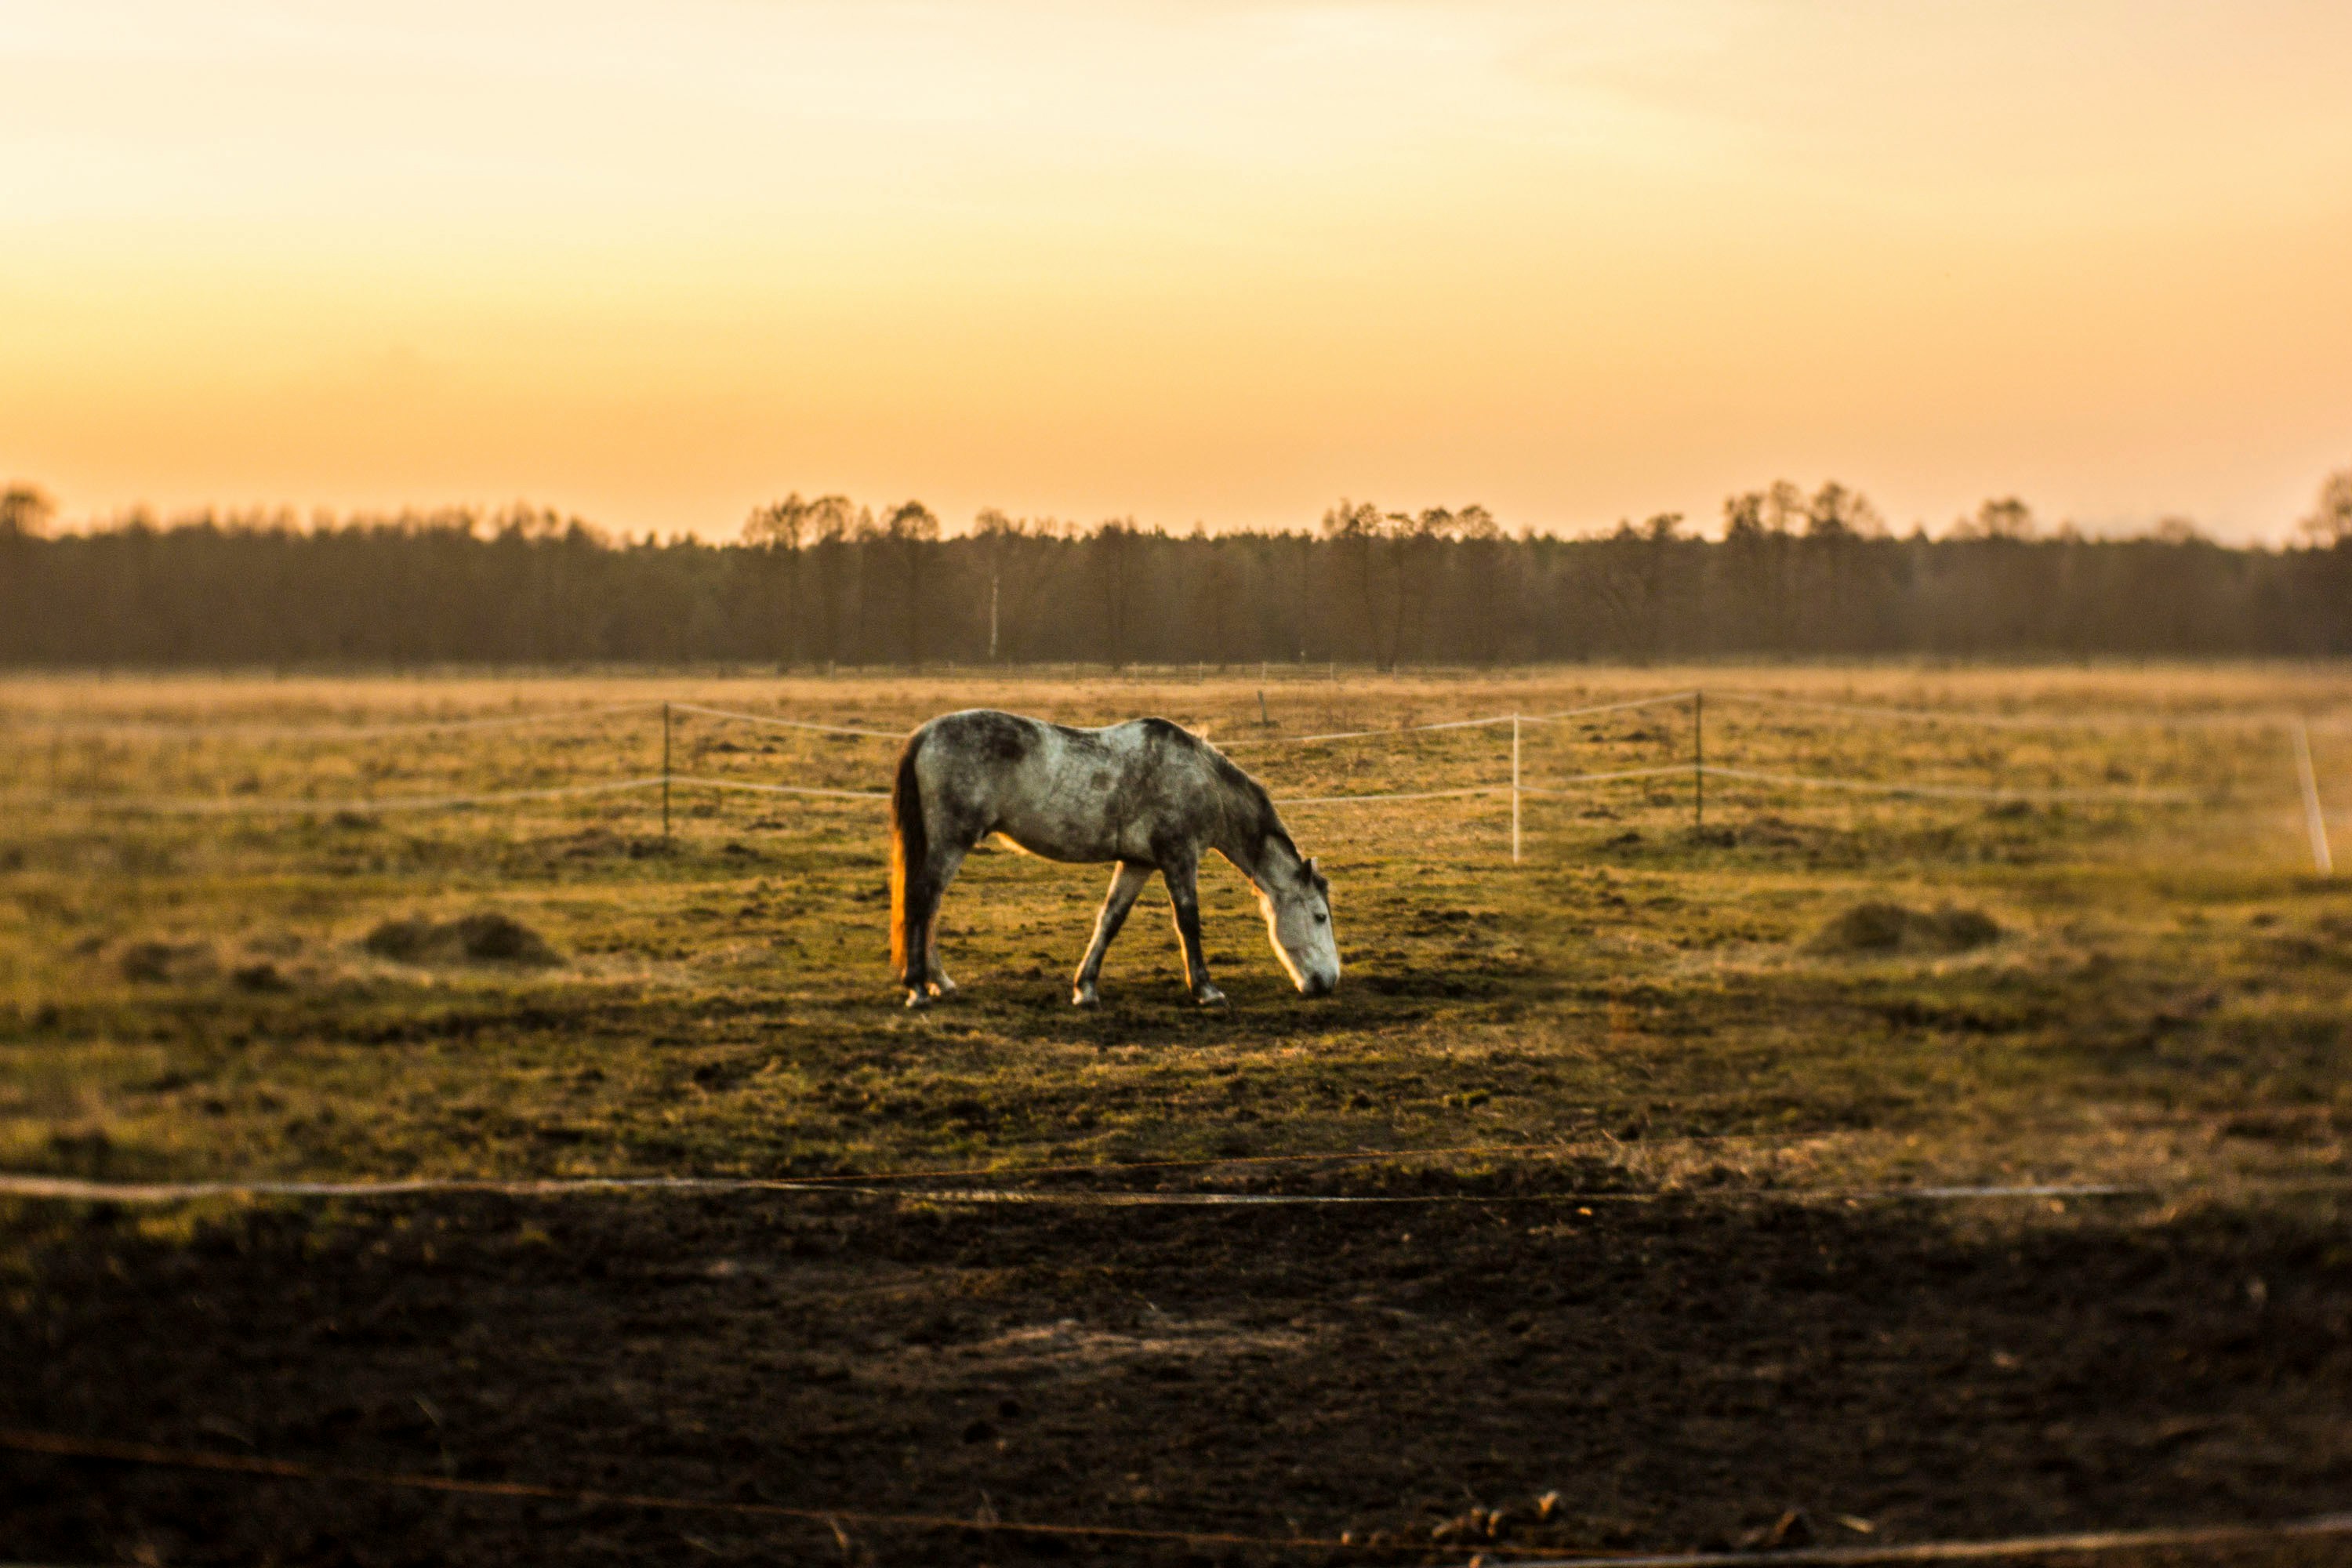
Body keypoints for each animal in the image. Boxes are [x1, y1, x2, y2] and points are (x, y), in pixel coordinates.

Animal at [888, 710, 1340, 1009]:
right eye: (1320, 916)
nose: (1330, 981)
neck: (1199, 778)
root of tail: (925, 733)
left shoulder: (1138, 864)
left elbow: (1110, 919)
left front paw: (1085, 988)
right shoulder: (1179, 858)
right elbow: (1188, 921)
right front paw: (1206, 990)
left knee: (930, 906)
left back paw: (939, 982)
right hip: (951, 841)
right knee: (922, 901)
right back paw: (918, 988)